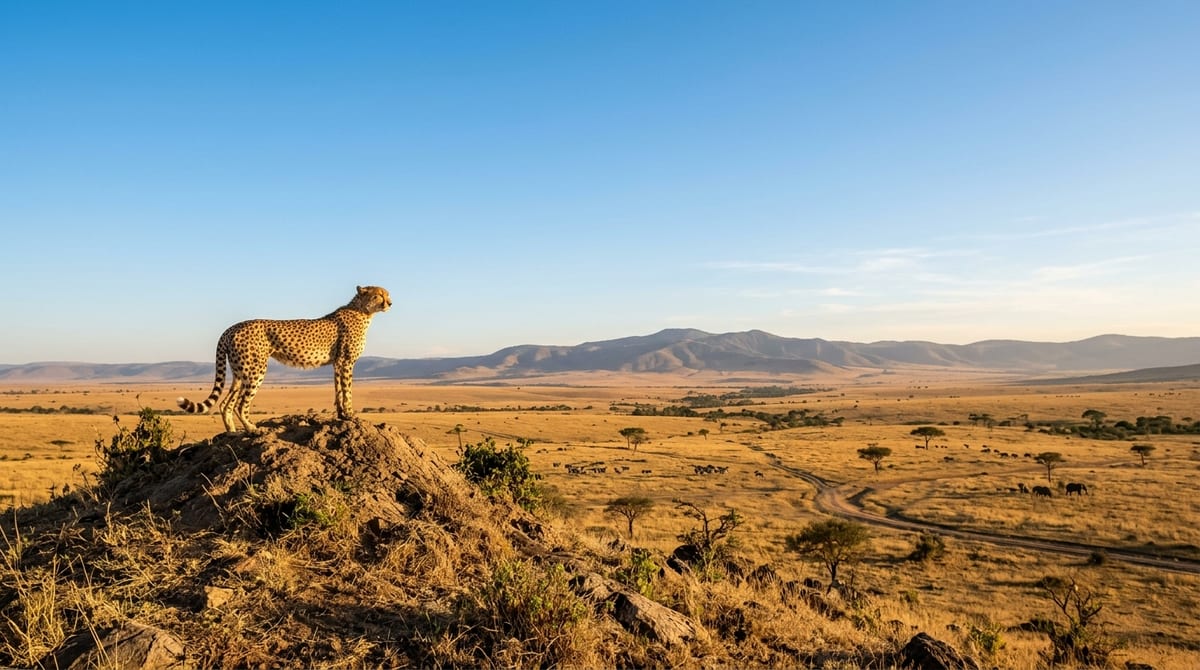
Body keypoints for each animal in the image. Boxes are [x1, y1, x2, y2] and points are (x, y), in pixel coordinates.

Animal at [177, 285, 392, 432]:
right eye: (379, 295)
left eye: (387, 294)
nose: (390, 303)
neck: (363, 312)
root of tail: (233, 327)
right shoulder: (346, 362)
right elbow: (347, 390)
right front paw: (349, 414)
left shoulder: (337, 364)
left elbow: (338, 390)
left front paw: (341, 414)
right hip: (255, 370)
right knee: (240, 404)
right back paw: (252, 429)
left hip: (239, 372)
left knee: (225, 404)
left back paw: (232, 432)